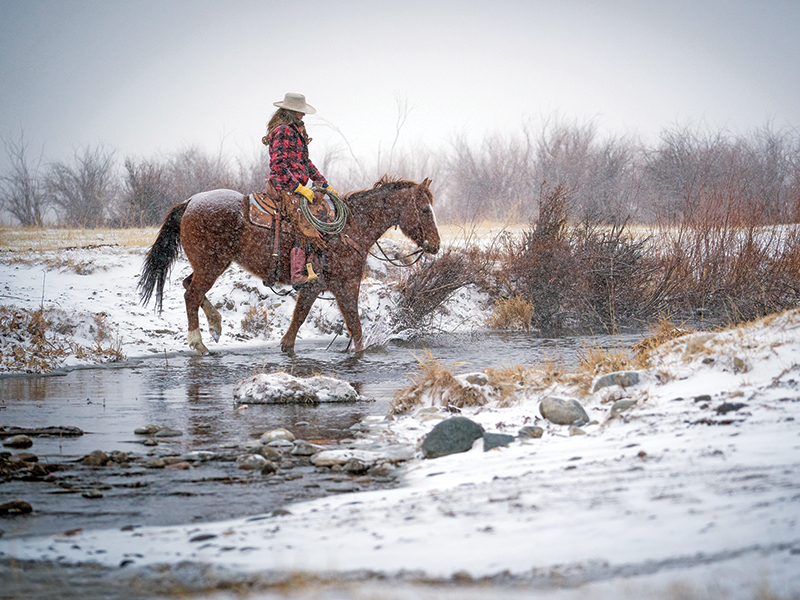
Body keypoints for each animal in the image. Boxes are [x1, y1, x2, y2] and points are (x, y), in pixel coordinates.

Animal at [138, 178, 440, 354]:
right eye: (425, 210)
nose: (436, 245)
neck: (352, 227)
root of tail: (190, 202)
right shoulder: (345, 285)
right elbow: (355, 327)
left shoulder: (316, 287)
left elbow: (299, 322)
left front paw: (286, 346)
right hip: (212, 264)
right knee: (192, 294)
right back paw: (198, 342)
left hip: (207, 265)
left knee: (188, 285)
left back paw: (215, 326)